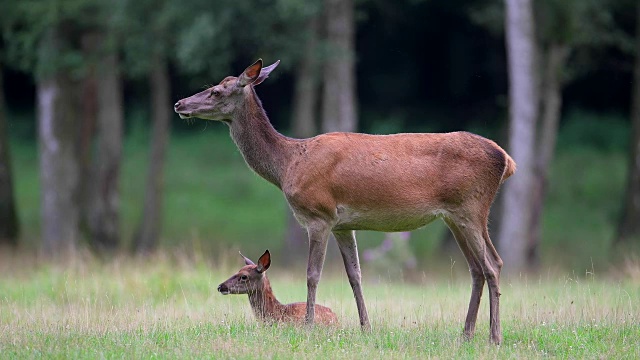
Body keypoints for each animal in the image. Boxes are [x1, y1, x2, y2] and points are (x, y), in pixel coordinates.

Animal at [175, 58, 516, 344]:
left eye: (217, 90)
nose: (179, 103)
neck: (287, 165)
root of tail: (507, 160)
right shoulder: (343, 224)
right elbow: (355, 275)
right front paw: (366, 328)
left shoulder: (319, 215)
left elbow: (312, 275)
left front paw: (309, 326)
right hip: (454, 215)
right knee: (477, 268)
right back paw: (466, 334)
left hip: (471, 206)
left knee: (493, 264)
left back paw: (494, 337)